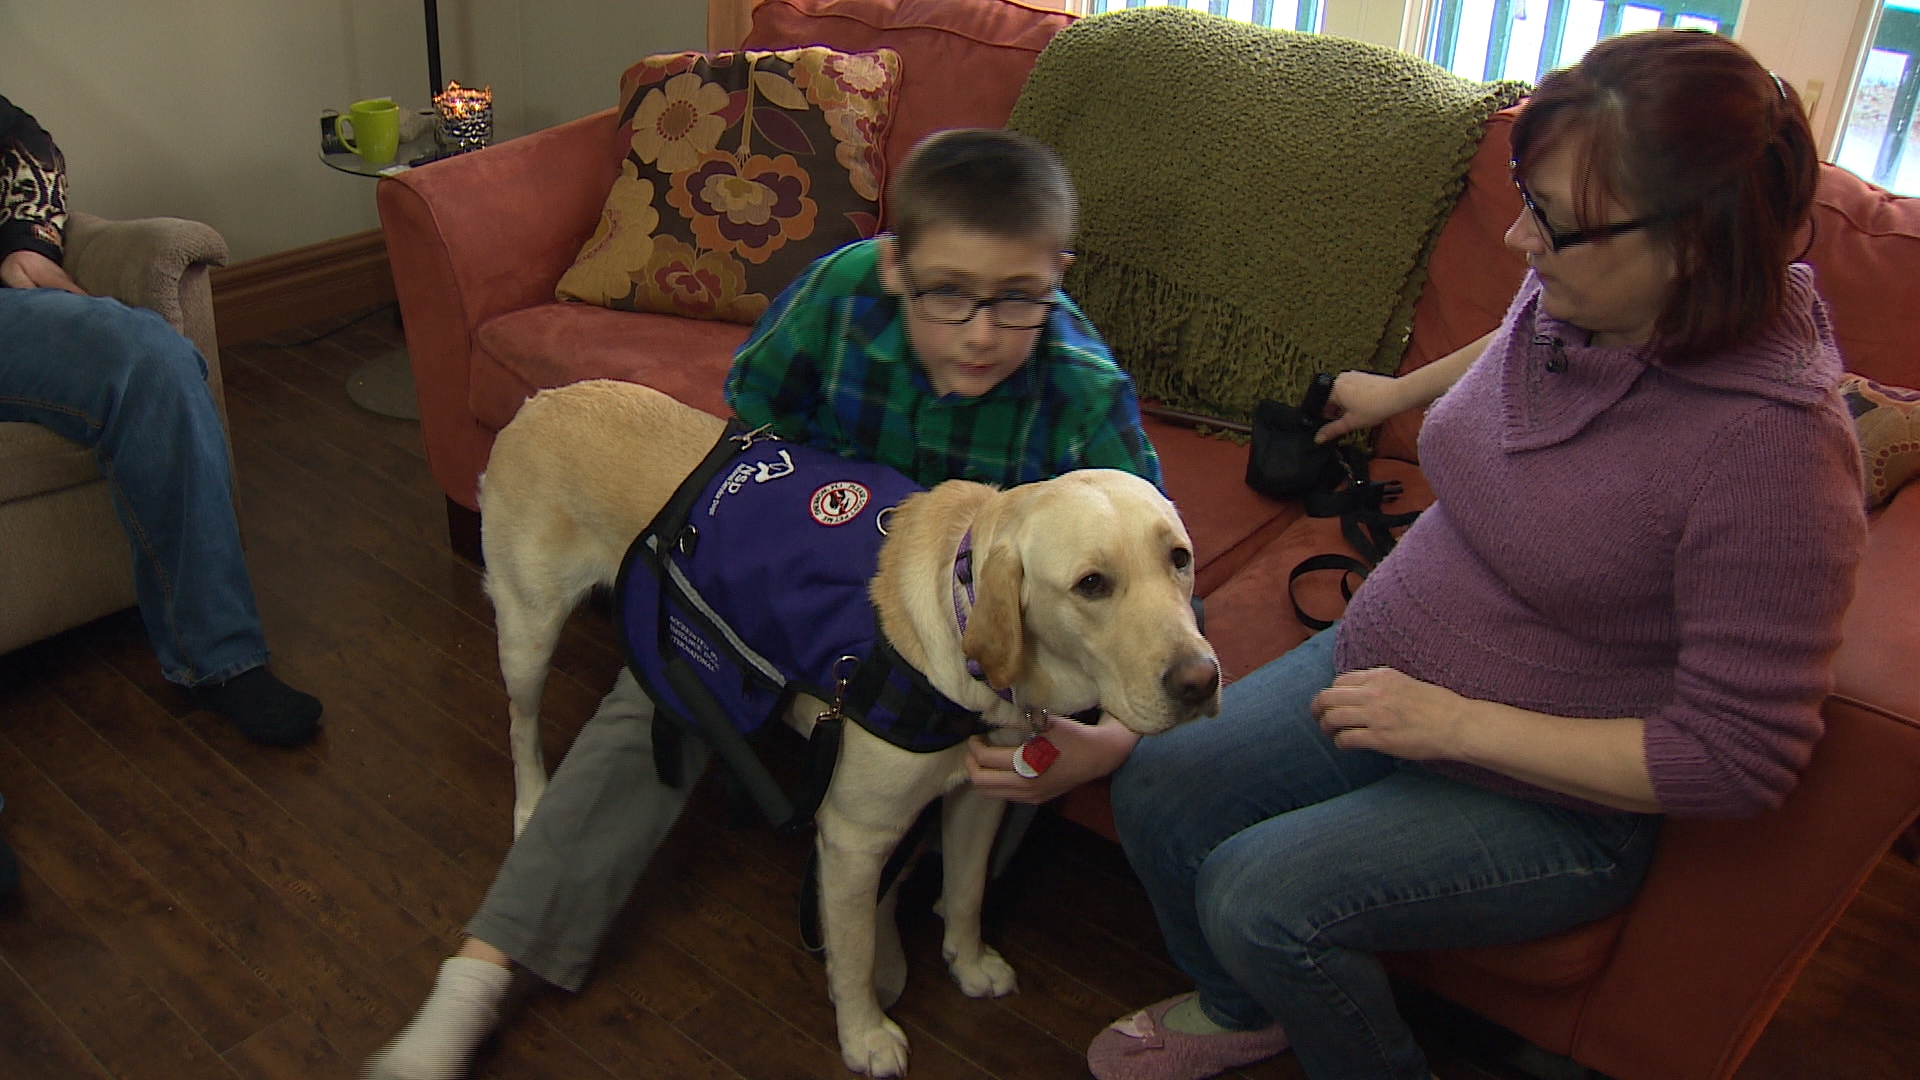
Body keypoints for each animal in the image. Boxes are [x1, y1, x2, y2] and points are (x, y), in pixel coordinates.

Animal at [487, 380, 1221, 1076]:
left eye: (1180, 559)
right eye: (1091, 584)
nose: (1202, 681)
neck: (958, 615)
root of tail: (541, 399)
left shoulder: (980, 796)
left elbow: (967, 891)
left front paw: (969, 962)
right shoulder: (855, 837)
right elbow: (858, 949)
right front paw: (865, 1036)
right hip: (528, 627)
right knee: (521, 722)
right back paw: (528, 804)